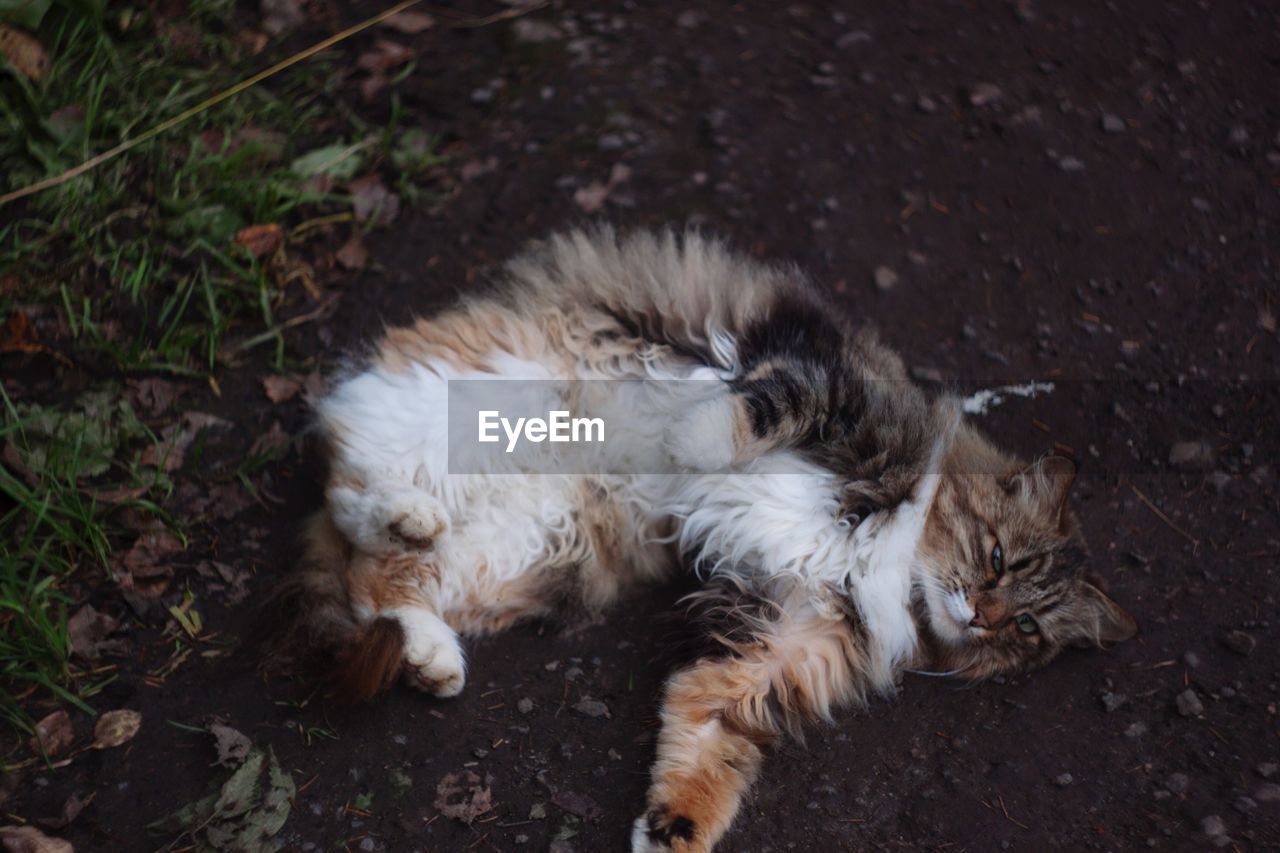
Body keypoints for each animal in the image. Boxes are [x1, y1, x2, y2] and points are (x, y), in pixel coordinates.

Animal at [267, 225, 1131, 850]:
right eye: (998, 558)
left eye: (1026, 627)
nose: (983, 615)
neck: (889, 561)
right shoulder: (827, 386)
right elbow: (744, 415)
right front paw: (685, 444)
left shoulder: (769, 642)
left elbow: (703, 742)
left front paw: (670, 832)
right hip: (486, 400)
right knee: (348, 478)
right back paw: (405, 514)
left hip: (527, 537)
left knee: (381, 576)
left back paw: (431, 651)